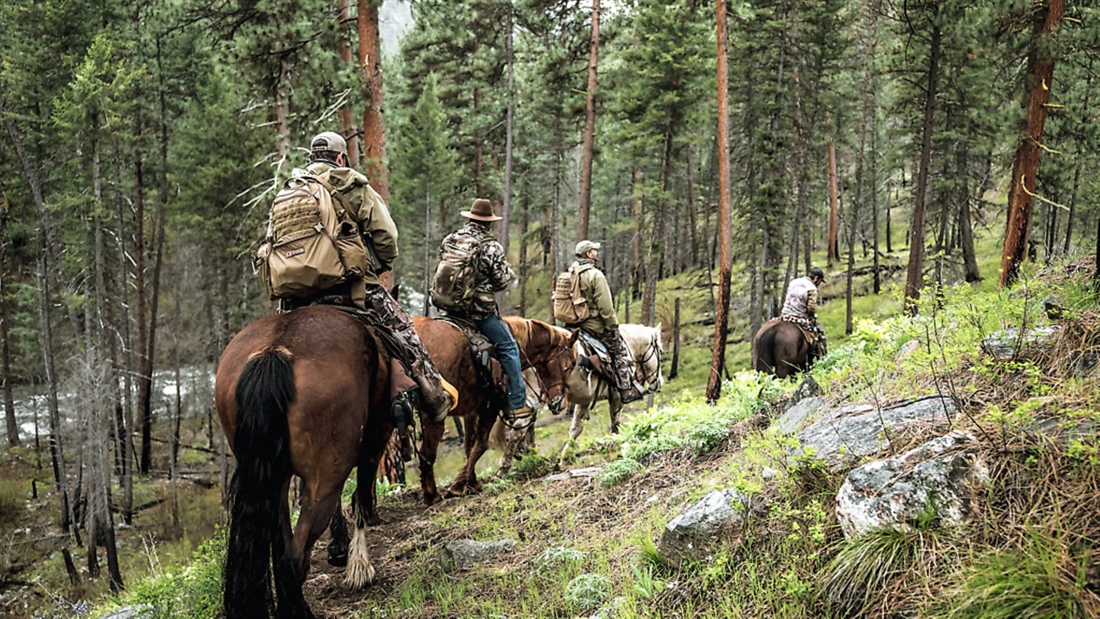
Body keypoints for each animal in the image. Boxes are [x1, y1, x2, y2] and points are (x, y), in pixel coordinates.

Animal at [214, 307, 396, 619]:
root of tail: (274, 352)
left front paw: (341, 549)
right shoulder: (375, 438)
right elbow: (361, 495)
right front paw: (359, 566)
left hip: (273, 481)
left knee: (283, 550)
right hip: (321, 485)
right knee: (296, 554)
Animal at [558, 325, 660, 466]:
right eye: (660, 351)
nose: (657, 383)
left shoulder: (584, 399)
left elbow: (576, 427)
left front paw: (565, 458)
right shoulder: (617, 396)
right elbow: (615, 424)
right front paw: (615, 445)